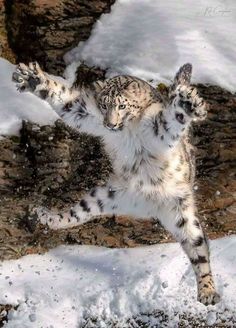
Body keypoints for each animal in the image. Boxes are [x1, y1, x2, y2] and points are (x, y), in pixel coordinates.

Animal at [12, 60, 219, 304]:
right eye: (103, 105)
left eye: (122, 105)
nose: (110, 124)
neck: (127, 130)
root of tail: (148, 207)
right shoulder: (85, 113)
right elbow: (65, 101)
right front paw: (32, 78)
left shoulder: (159, 129)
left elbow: (171, 120)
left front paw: (188, 104)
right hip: (105, 196)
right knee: (75, 214)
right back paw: (44, 216)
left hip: (182, 213)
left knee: (198, 250)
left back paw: (208, 291)